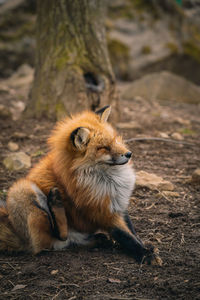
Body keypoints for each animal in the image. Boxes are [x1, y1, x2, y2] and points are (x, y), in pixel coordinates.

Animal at [0, 106, 162, 264]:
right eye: (104, 147)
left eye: (115, 140)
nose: (129, 154)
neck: (110, 181)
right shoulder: (101, 211)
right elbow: (126, 237)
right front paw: (145, 254)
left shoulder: (118, 203)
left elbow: (131, 231)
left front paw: (145, 246)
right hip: (22, 189)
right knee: (54, 239)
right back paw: (55, 203)